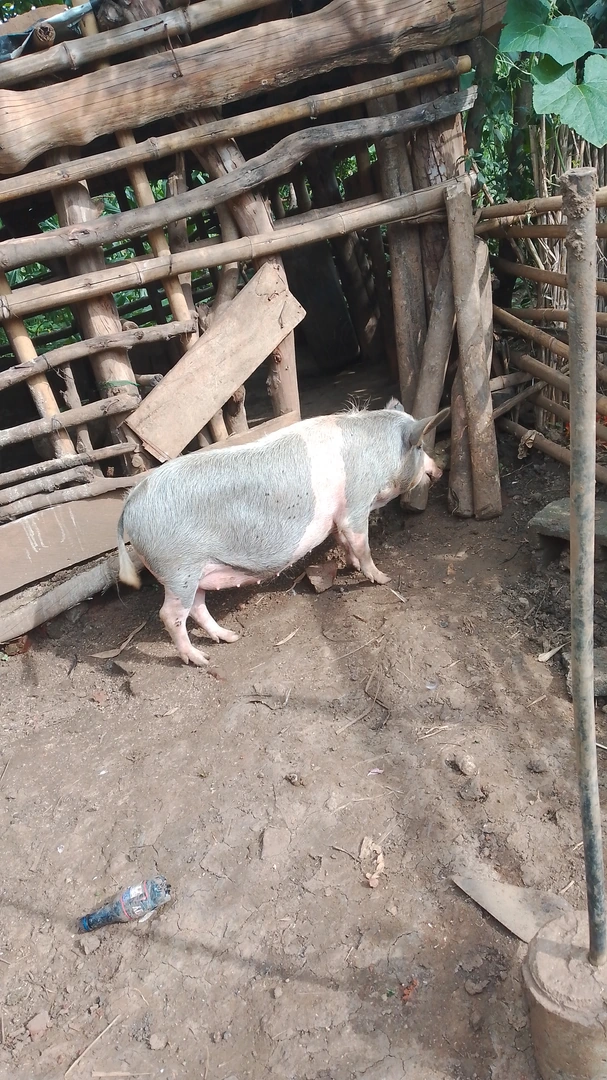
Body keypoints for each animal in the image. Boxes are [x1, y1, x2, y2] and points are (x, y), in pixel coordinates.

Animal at [117, 398, 448, 666]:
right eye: (420, 447)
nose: (440, 470)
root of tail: (131, 500)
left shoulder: (336, 517)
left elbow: (344, 541)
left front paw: (352, 566)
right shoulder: (355, 503)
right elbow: (361, 543)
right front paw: (382, 578)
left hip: (196, 572)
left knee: (197, 607)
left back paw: (230, 637)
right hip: (178, 569)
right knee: (170, 615)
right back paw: (201, 660)